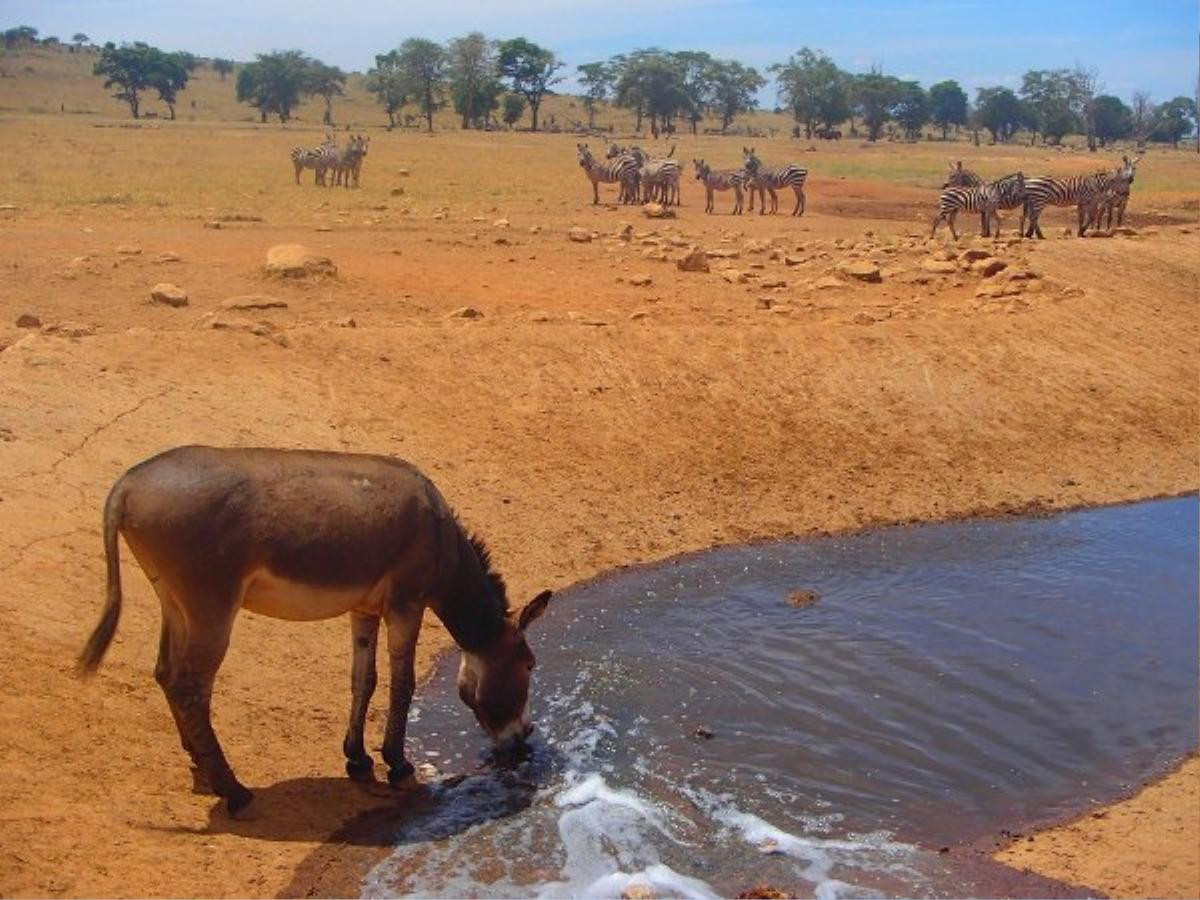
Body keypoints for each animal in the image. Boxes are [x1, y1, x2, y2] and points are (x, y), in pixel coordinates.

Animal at [77, 448, 554, 816]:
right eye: (530, 664)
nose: (526, 735)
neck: (442, 539)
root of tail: (127, 485)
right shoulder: (406, 604)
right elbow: (402, 683)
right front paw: (398, 764)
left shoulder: (364, 608)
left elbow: (365, 679)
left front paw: (358, 759)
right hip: (211, 606)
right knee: (189, 686)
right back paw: (234, 791)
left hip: (172, 600)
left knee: (165, 672)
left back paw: (200, 763)